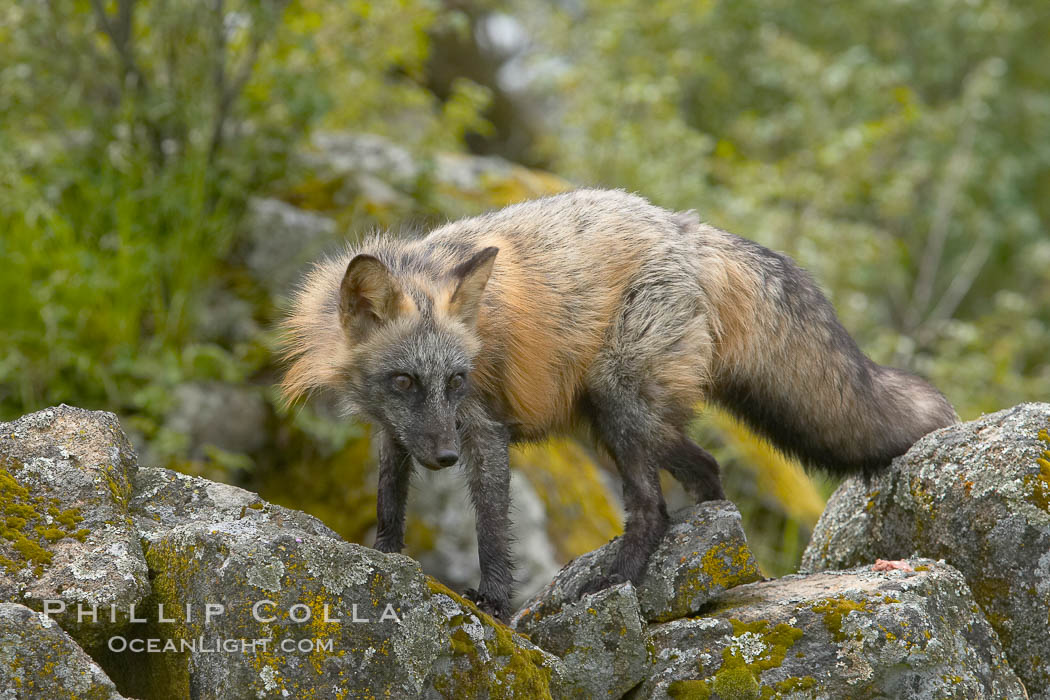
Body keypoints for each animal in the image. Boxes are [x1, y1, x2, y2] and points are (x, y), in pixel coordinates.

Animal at [279, 188, 961, 621]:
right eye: (404, 382)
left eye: (456, 380)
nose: (444, 459)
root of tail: (687, 226)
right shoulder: (392, 432)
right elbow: (389, 500)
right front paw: (384, 559)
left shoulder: (481, 429)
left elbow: (492, 529)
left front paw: (494, 602)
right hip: (610, 422)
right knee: (708, 470)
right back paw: (727, 559)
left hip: (617, 406)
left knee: (653, 512)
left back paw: (622, 579)